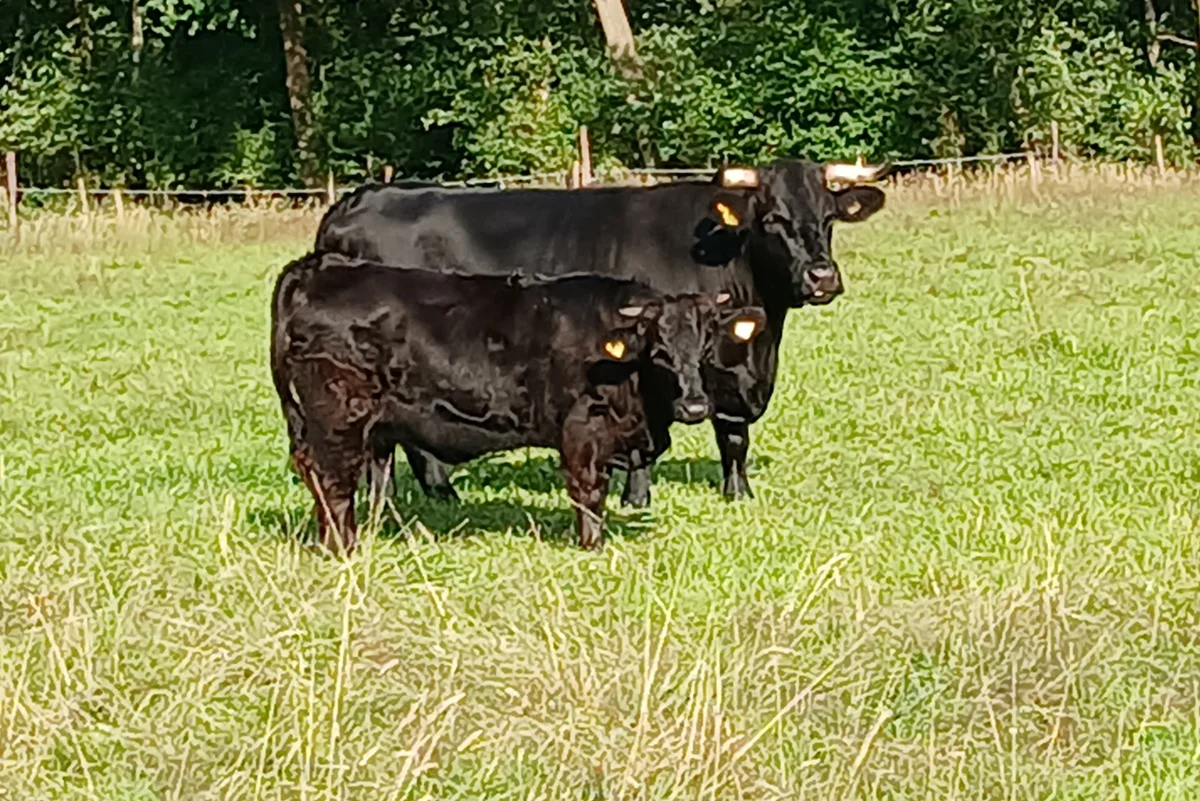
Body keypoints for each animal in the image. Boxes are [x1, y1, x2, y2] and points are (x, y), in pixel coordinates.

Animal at [270, 251, 768, 553]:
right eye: (659, 351)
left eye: (705, 347)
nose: (695, 408)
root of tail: (318, 265)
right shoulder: (583, 429)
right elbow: (588, 491)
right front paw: (593, 545)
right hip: (339, 417)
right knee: (334, 481)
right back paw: (343, 547)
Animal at [314, 159, 888, 507]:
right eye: (772, 219)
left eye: (830, 216)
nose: (821, 276)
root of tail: (359, 199)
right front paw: (636, 498)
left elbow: (734, 436)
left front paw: (738, 493)